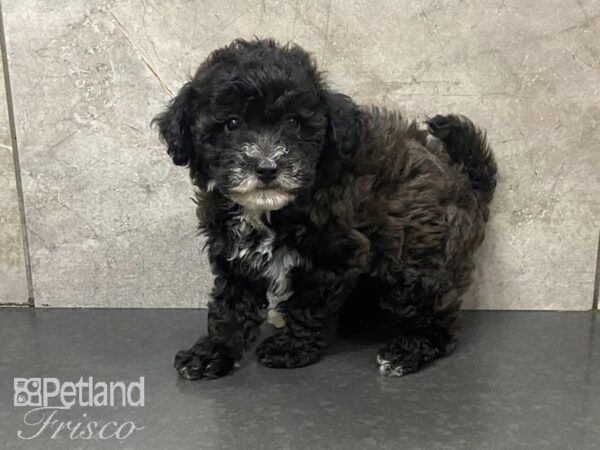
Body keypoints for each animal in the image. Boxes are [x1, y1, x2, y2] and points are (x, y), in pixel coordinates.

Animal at [154, 37, 496, 380]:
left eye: (293, 122)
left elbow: (307, 305)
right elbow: (230, 307)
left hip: (416, 265)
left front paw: (289, 347)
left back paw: (407, 351)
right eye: (232, 124)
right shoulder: (235, 254)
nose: (267, 167)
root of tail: (467, 183)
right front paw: (212, 352)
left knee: (439, 317)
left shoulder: (335, 254)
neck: (270, 211)